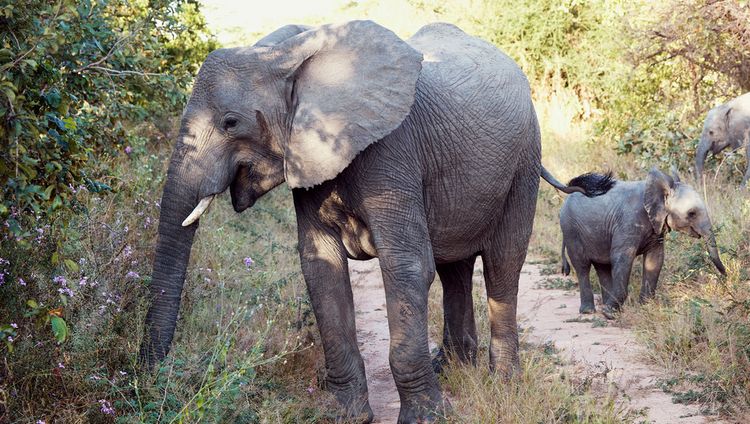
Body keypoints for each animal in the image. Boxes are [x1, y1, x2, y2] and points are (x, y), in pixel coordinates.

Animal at [140, 21, 612, 422]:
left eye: (230, 122)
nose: (153, 378)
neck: (289, 54)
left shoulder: (392, 150)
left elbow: (407, 265)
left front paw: (425, 418)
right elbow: (320, 266)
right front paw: (348, 416)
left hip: (523, 161)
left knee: (502, 265)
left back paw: (503, 382)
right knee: (454, 267)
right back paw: (451, 368)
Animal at [560, 167, 724, 320]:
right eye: (692, 213)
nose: (725, 275)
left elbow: (655, 259)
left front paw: (646, 308)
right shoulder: (628, 221)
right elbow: (622, 257)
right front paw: (610, 314)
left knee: (602, 267)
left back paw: (605, 306)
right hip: (571, 229)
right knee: (582, 265)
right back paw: (589, 311)